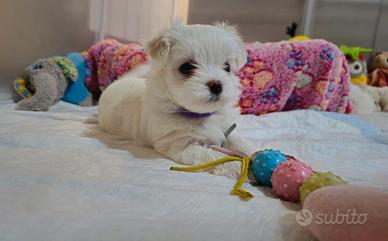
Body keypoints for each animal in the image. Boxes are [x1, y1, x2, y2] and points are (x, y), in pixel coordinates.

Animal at [98, 21, 255, 178]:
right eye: (186, 67)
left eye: (227, 67)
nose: (216, 85)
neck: (200, 115)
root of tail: (119, 81)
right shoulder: (181, 145)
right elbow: (214, 155)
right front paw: (239, 167)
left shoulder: (227, 127)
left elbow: (241, 142)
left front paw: (254, 152)